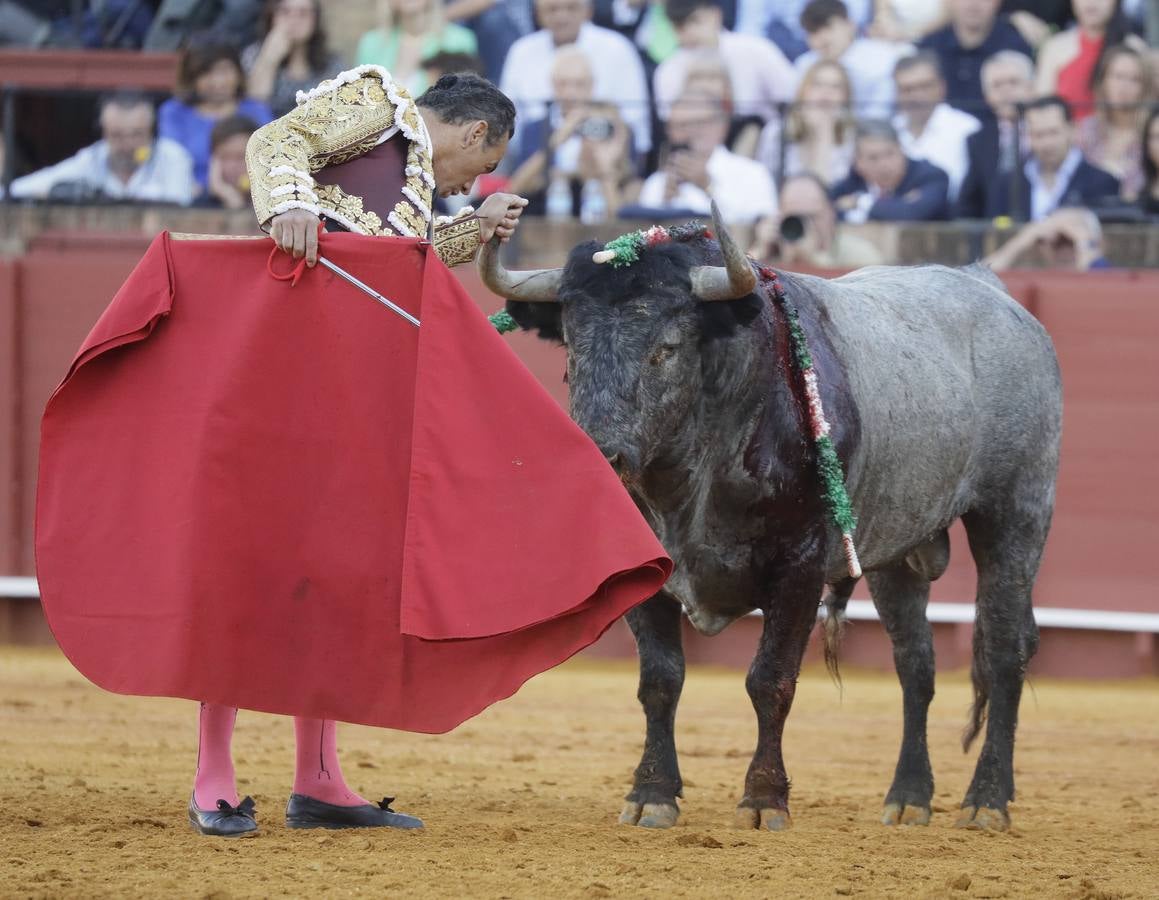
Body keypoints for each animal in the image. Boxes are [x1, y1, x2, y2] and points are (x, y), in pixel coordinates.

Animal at [475, 207, 1061, 833]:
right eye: (572, 349)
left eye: (667, 348)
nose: (602, 458)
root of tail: (994, 292)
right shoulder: (648, 573)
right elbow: (660, 679)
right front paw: (651, 793)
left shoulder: (800, 565)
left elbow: (770, 679)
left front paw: (763, 799)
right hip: (898, 548)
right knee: (915, 662)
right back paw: (909, 796)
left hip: (1016, 512)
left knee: (1003, 647)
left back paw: (987, 800)